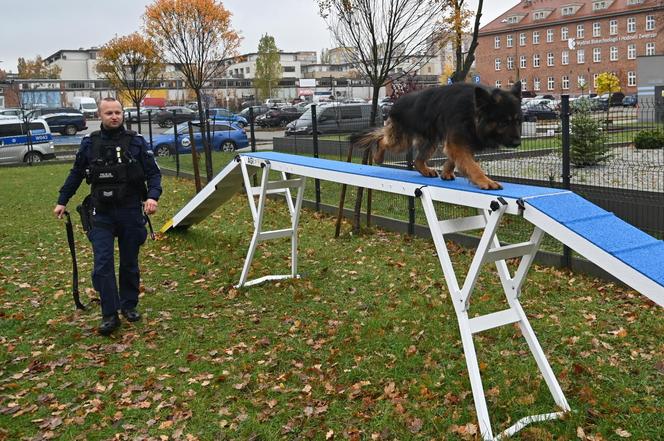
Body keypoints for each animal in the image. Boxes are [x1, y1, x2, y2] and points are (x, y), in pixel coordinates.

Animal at [352, 81, 524, 188]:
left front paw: (446, 172)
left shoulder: (462, 141)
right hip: (401, 141)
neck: (473, 111)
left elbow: (457, 160)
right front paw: (484, 180)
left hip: (431, 141)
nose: (517, 143)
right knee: (382, 140)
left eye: (517, 121)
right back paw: (378, 157)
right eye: (503, 122)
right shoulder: (457, 141)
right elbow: (472, 165)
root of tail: (394, 104)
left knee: (417, 161)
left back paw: (425, 170)